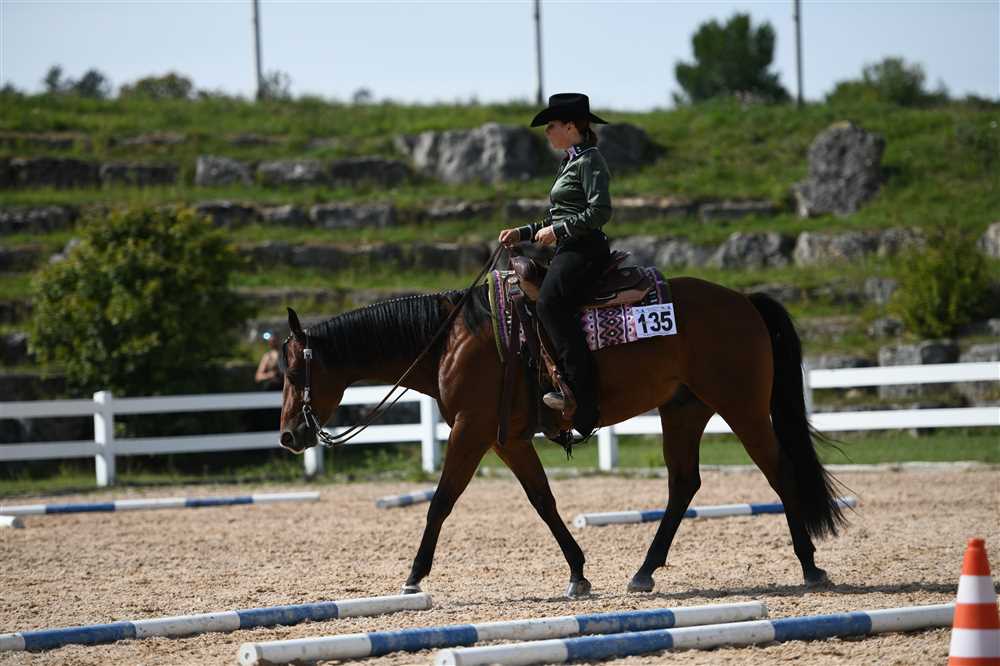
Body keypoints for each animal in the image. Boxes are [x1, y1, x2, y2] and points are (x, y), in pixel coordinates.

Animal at [276, 275, 847, 597]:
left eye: (293, 370)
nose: (288, 435)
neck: (451, 340)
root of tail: (744, 302)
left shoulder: (471, 430)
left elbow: (440, 501)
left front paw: (414, 575)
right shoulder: (507, 439)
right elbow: (543, 501)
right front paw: (578, 572)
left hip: (742, 408)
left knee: (779, 473)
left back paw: (811, 567)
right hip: (684, 411)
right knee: (684, 484)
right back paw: (644, 572)